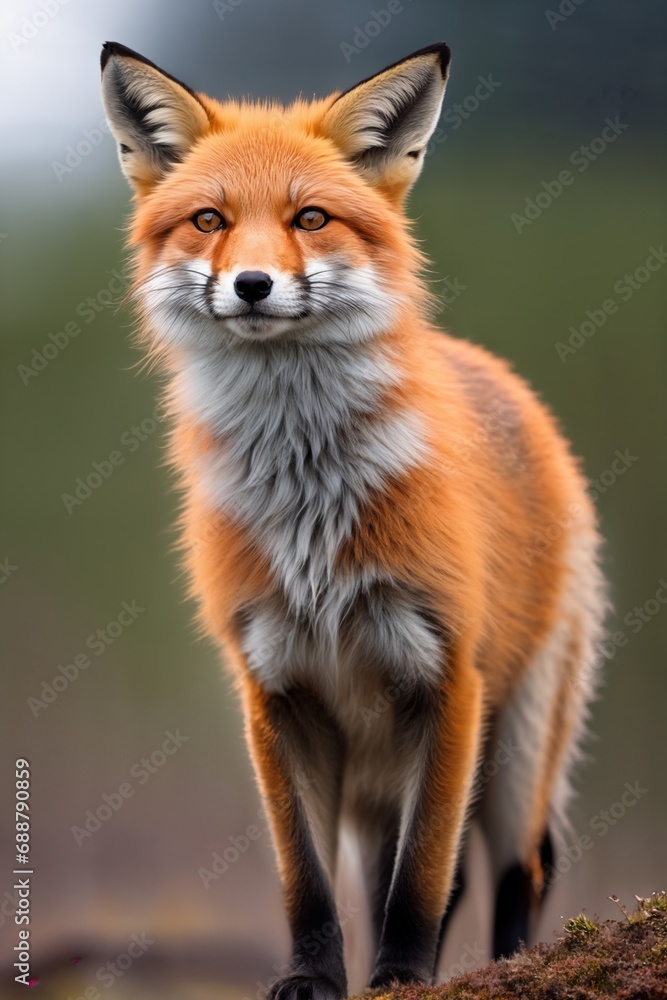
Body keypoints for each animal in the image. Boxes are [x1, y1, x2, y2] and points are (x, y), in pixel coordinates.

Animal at [100, 39, 607, 997]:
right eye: (210, 221)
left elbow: (421, 881)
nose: (252, 285)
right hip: (382, 770)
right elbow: (307, 881)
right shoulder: (275, 688)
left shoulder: (445, 677)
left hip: (518, 743)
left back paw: (514, 964)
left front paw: (401, 975)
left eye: (310, 218)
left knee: (514, 870)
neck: (310, 507)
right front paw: (314, 977)